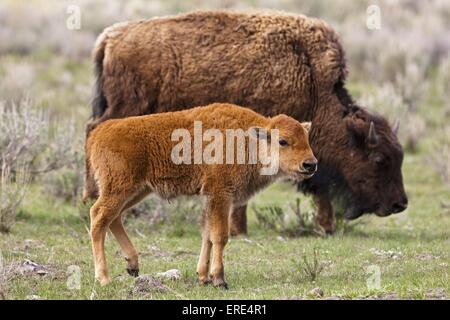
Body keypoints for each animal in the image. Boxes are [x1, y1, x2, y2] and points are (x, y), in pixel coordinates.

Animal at [83, 11, 408, 234]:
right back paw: (91, 196)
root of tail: (110, 37)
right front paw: (239, 228)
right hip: (127, 109)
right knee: (95, 131)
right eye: (379, 159)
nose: (400, 204)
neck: (311, 82)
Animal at [85, 104, 316, 286]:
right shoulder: (221, 195)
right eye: (283, 141)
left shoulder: (210, 198)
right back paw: (103, 278)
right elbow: (220, 236)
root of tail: (98, 133)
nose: (310, 164)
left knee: (113, 219)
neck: (248, 141)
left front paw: (203, 277)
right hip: (119, 189)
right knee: (98, 217)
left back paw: (132, 266)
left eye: (306, 138)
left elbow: (207, 234)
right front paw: (219, 279)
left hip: (137, 191)